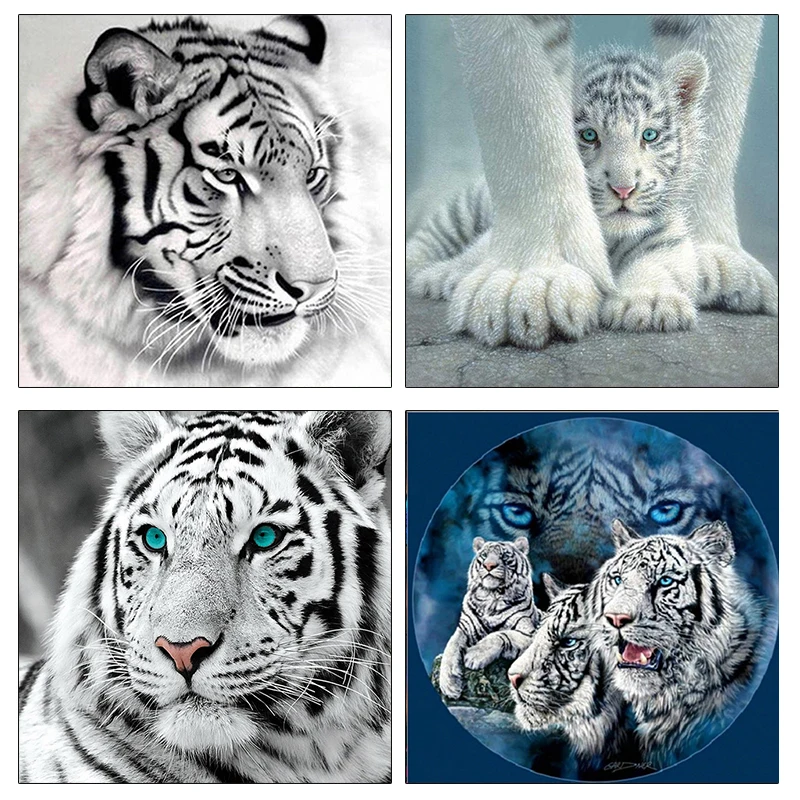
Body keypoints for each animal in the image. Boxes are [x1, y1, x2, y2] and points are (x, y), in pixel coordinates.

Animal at [439, 537, 539, 700]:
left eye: (504, 556)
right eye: (484, 555)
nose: (489, 566)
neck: (492, 597)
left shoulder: (531, 633)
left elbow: (500, 634)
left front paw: (473, 657)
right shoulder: (464, 628)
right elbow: (451, 646)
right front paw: (449, 684)